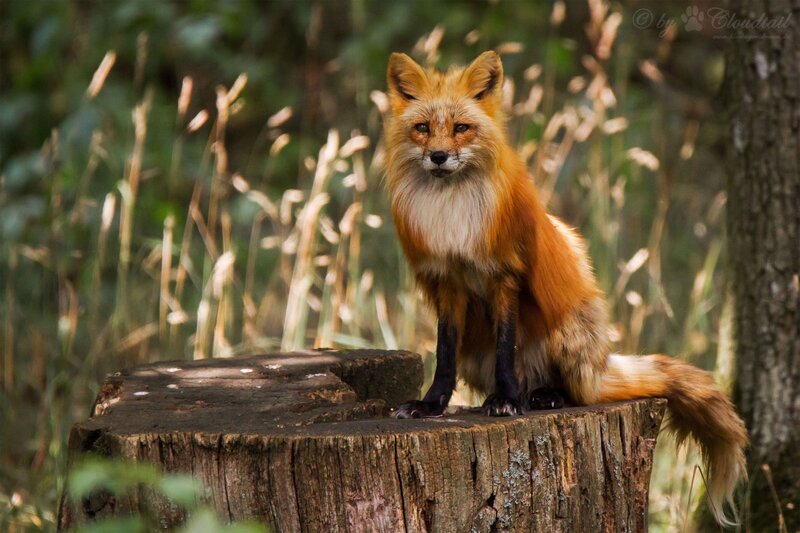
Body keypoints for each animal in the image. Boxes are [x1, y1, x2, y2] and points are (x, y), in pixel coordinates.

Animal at [383, 50, 748, 527]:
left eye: (461, 127)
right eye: (423, 128)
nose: (439, 156)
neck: (452, 213)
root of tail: (602, 362)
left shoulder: (505, 276)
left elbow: (506, 349)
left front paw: (505, 401)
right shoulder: (447, 283)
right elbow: (443, 356)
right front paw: (431, 406)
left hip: (569, 337)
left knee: (577, 393)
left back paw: (544, 396)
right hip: (476, 356)